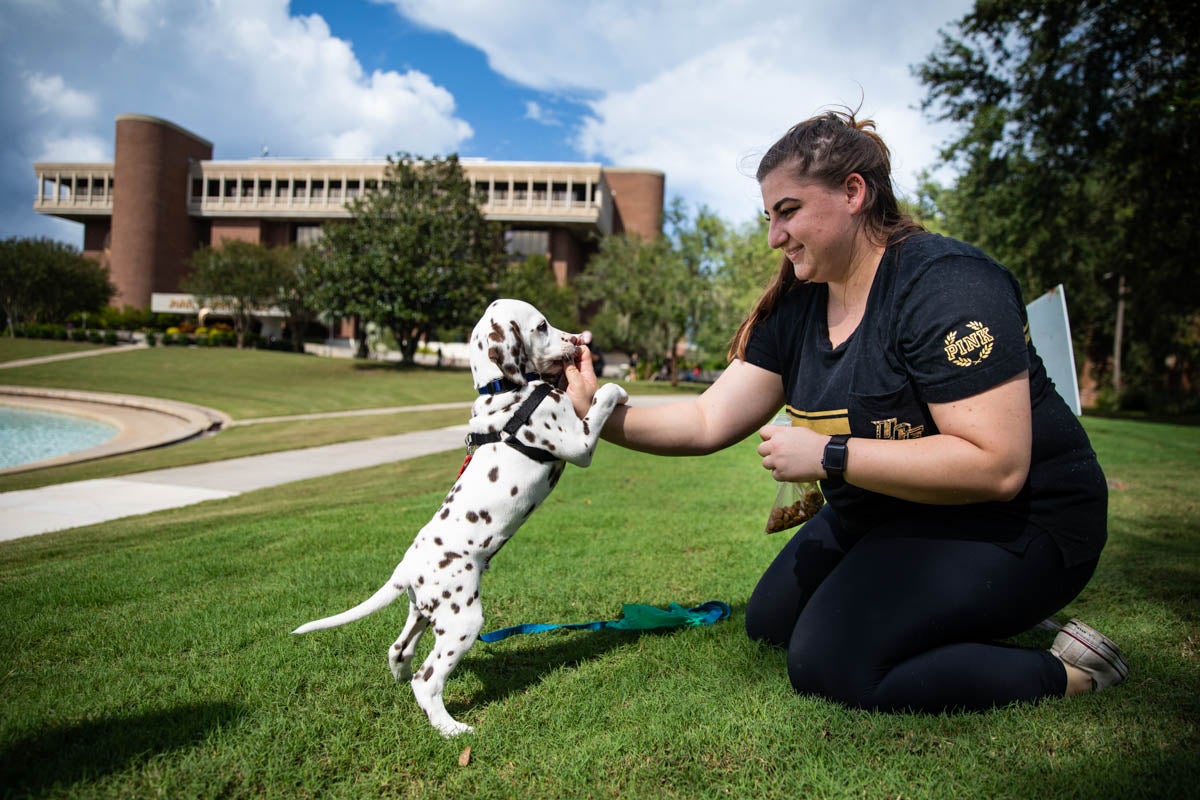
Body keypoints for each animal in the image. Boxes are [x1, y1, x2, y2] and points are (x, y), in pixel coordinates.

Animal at [290, 298, 628, 738]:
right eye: (542, 326)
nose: (577, 340)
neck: (506, 391)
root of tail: (406, 568)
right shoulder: (579, 443)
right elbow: (602, 398)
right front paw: (614, 387)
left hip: (424, 613)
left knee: (398, 650)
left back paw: (402, 681)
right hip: (463, 620)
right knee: (427, 679)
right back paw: (451, 729)